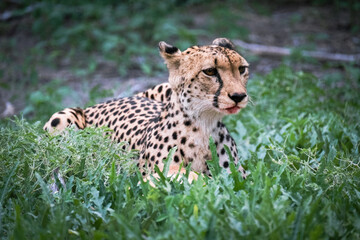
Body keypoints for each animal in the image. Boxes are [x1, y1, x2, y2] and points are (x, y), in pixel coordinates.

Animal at [43, 37, 250, 179]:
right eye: (210, 71)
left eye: (242, 69)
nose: (239, 96)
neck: (204, 124)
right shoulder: (157, 173)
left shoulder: (238, 174)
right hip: (62, 118)